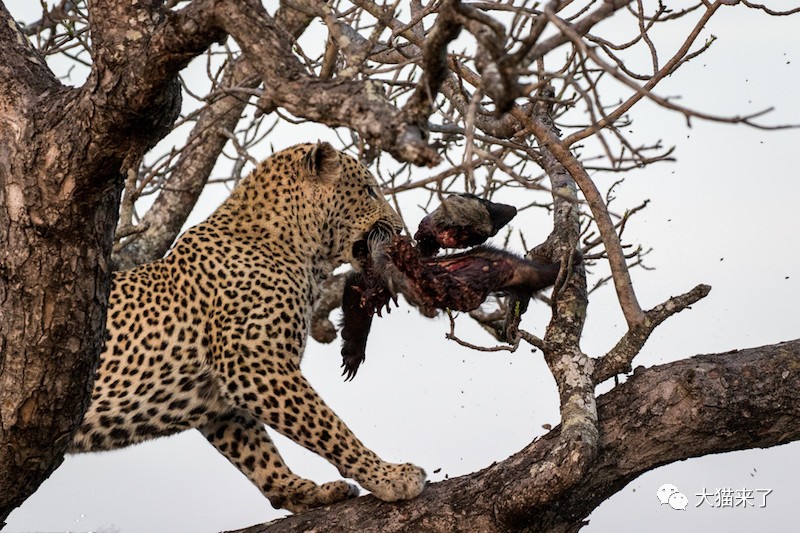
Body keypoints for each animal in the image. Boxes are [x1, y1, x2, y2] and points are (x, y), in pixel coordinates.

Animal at [70, 140, 424, 512]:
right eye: (369, 191)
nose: (400, 228)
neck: (299, 250)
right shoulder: (255, 363)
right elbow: (329, 428)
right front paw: (389, 476)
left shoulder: (223, 398)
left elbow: (259, 455)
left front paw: (306, 492)